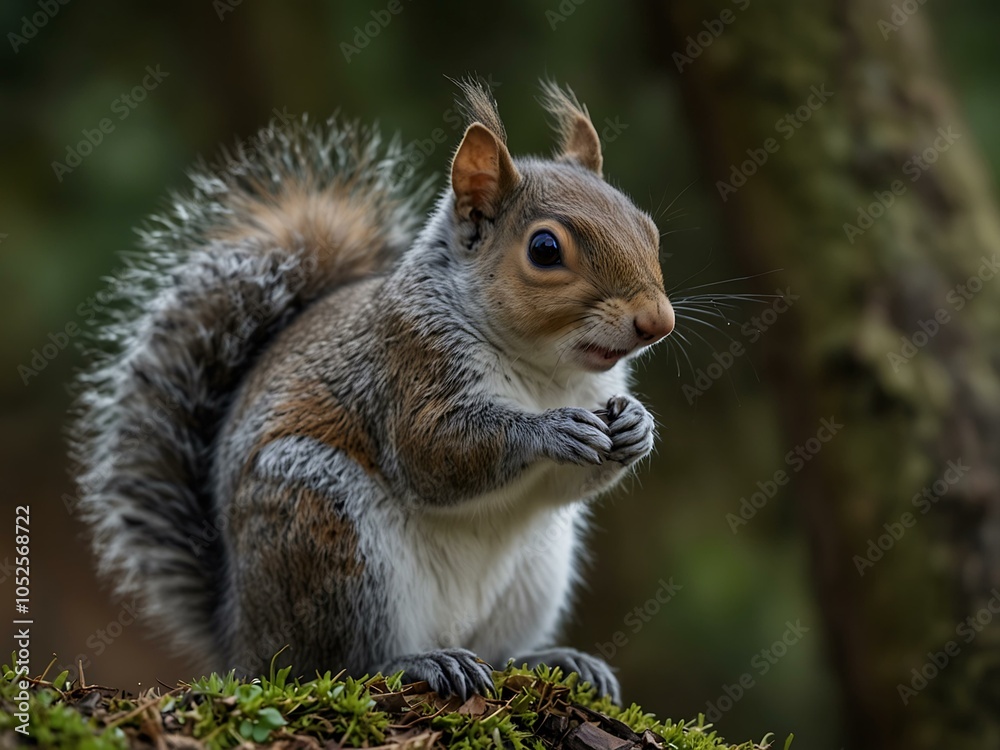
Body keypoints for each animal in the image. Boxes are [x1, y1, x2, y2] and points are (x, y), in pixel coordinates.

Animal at [70, 80, 675, 704]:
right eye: (545, 250)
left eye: (649, 229)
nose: (659, 322)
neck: (545, 372)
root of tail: (240, 637)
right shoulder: (408, 366)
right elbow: (431, 455)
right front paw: (549, 429)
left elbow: (564, 484)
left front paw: (637, 425)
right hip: (323, 528)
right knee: (333, 666)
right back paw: (417, 662)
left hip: (536, 571)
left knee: (497, 651)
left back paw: (553, 659)